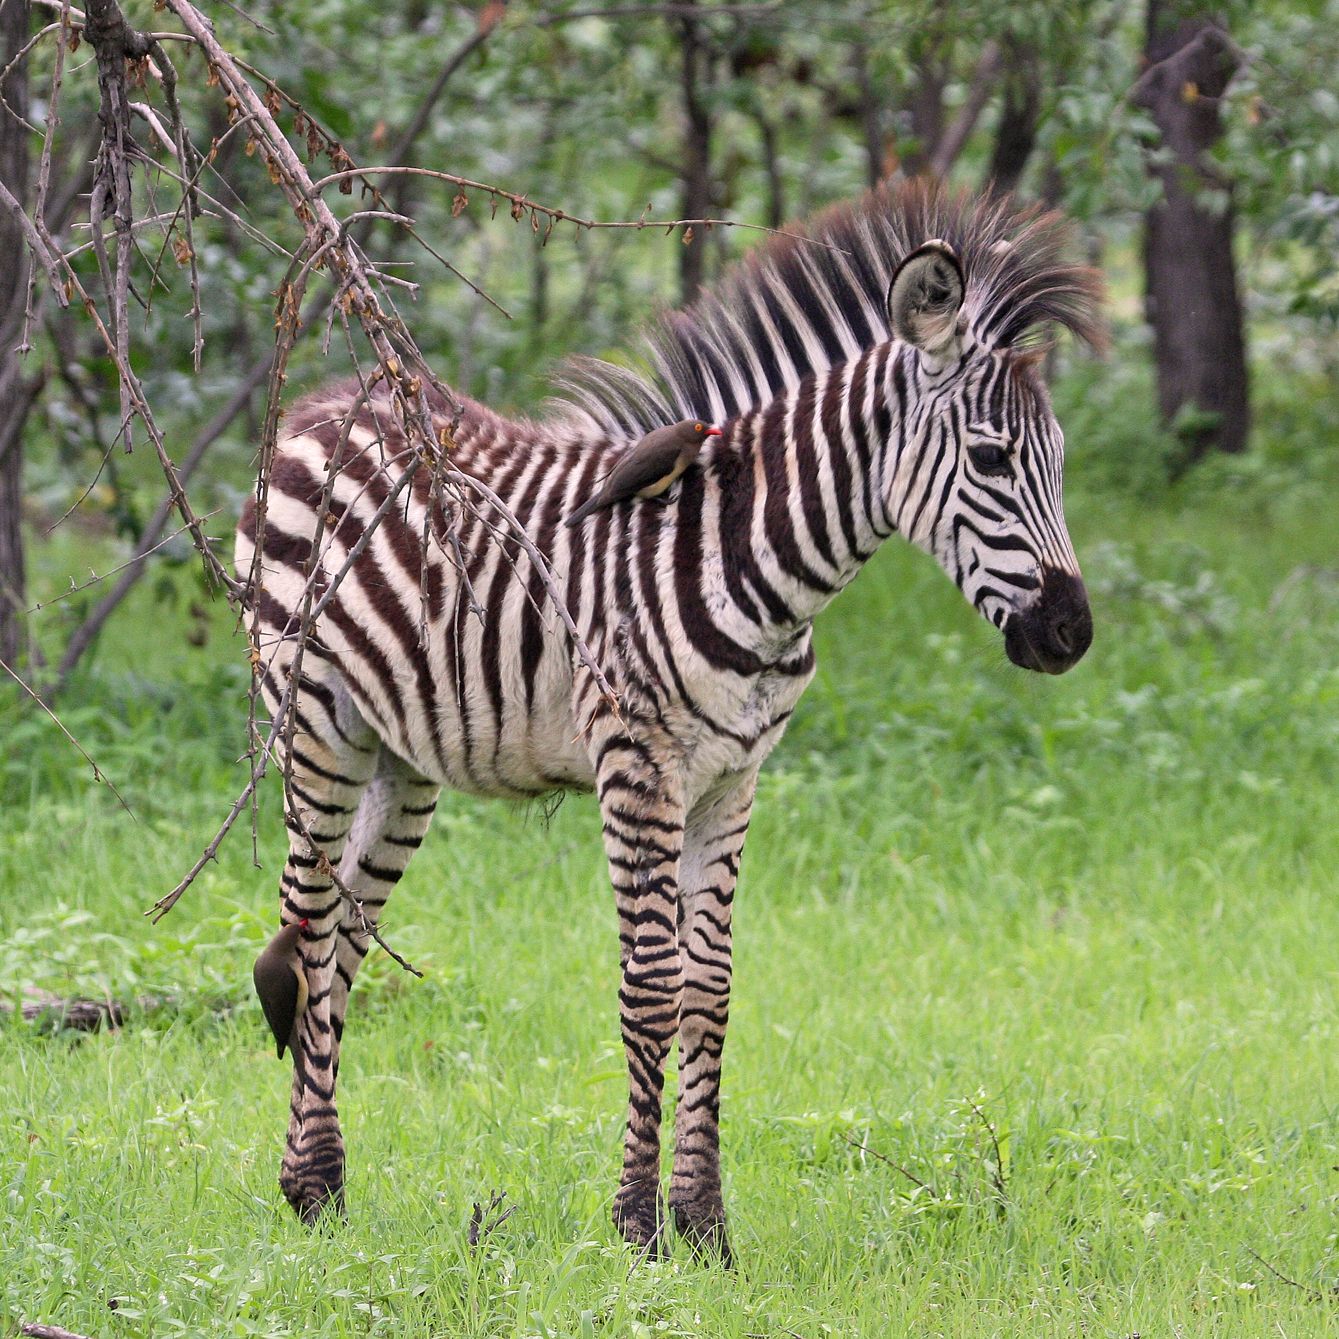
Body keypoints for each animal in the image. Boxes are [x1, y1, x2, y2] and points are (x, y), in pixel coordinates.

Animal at [238, 183, 1097, 1258]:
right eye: (989, 458)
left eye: (1058, 462)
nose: (1071, 634)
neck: (749, 558)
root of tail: (320, 404)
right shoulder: (636, 763)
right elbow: (651, 985)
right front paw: (637, 1223)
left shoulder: (733, 778)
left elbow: (709, 990)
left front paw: (703, 1222)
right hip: (316, 721)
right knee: (309, 929)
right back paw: (308, 1184)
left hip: (405, 758)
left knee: (347, 938)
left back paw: (324, 1188)